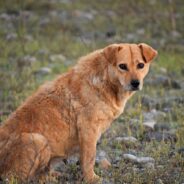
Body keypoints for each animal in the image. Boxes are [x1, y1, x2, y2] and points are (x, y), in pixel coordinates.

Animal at [0, 43, 157, 183]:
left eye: (141, 65)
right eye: (122, 66)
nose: (135, 83)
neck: (105, 79)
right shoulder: (88, 129)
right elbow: (89, 158)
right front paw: (91, 178)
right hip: (38, 140)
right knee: (20, 178)